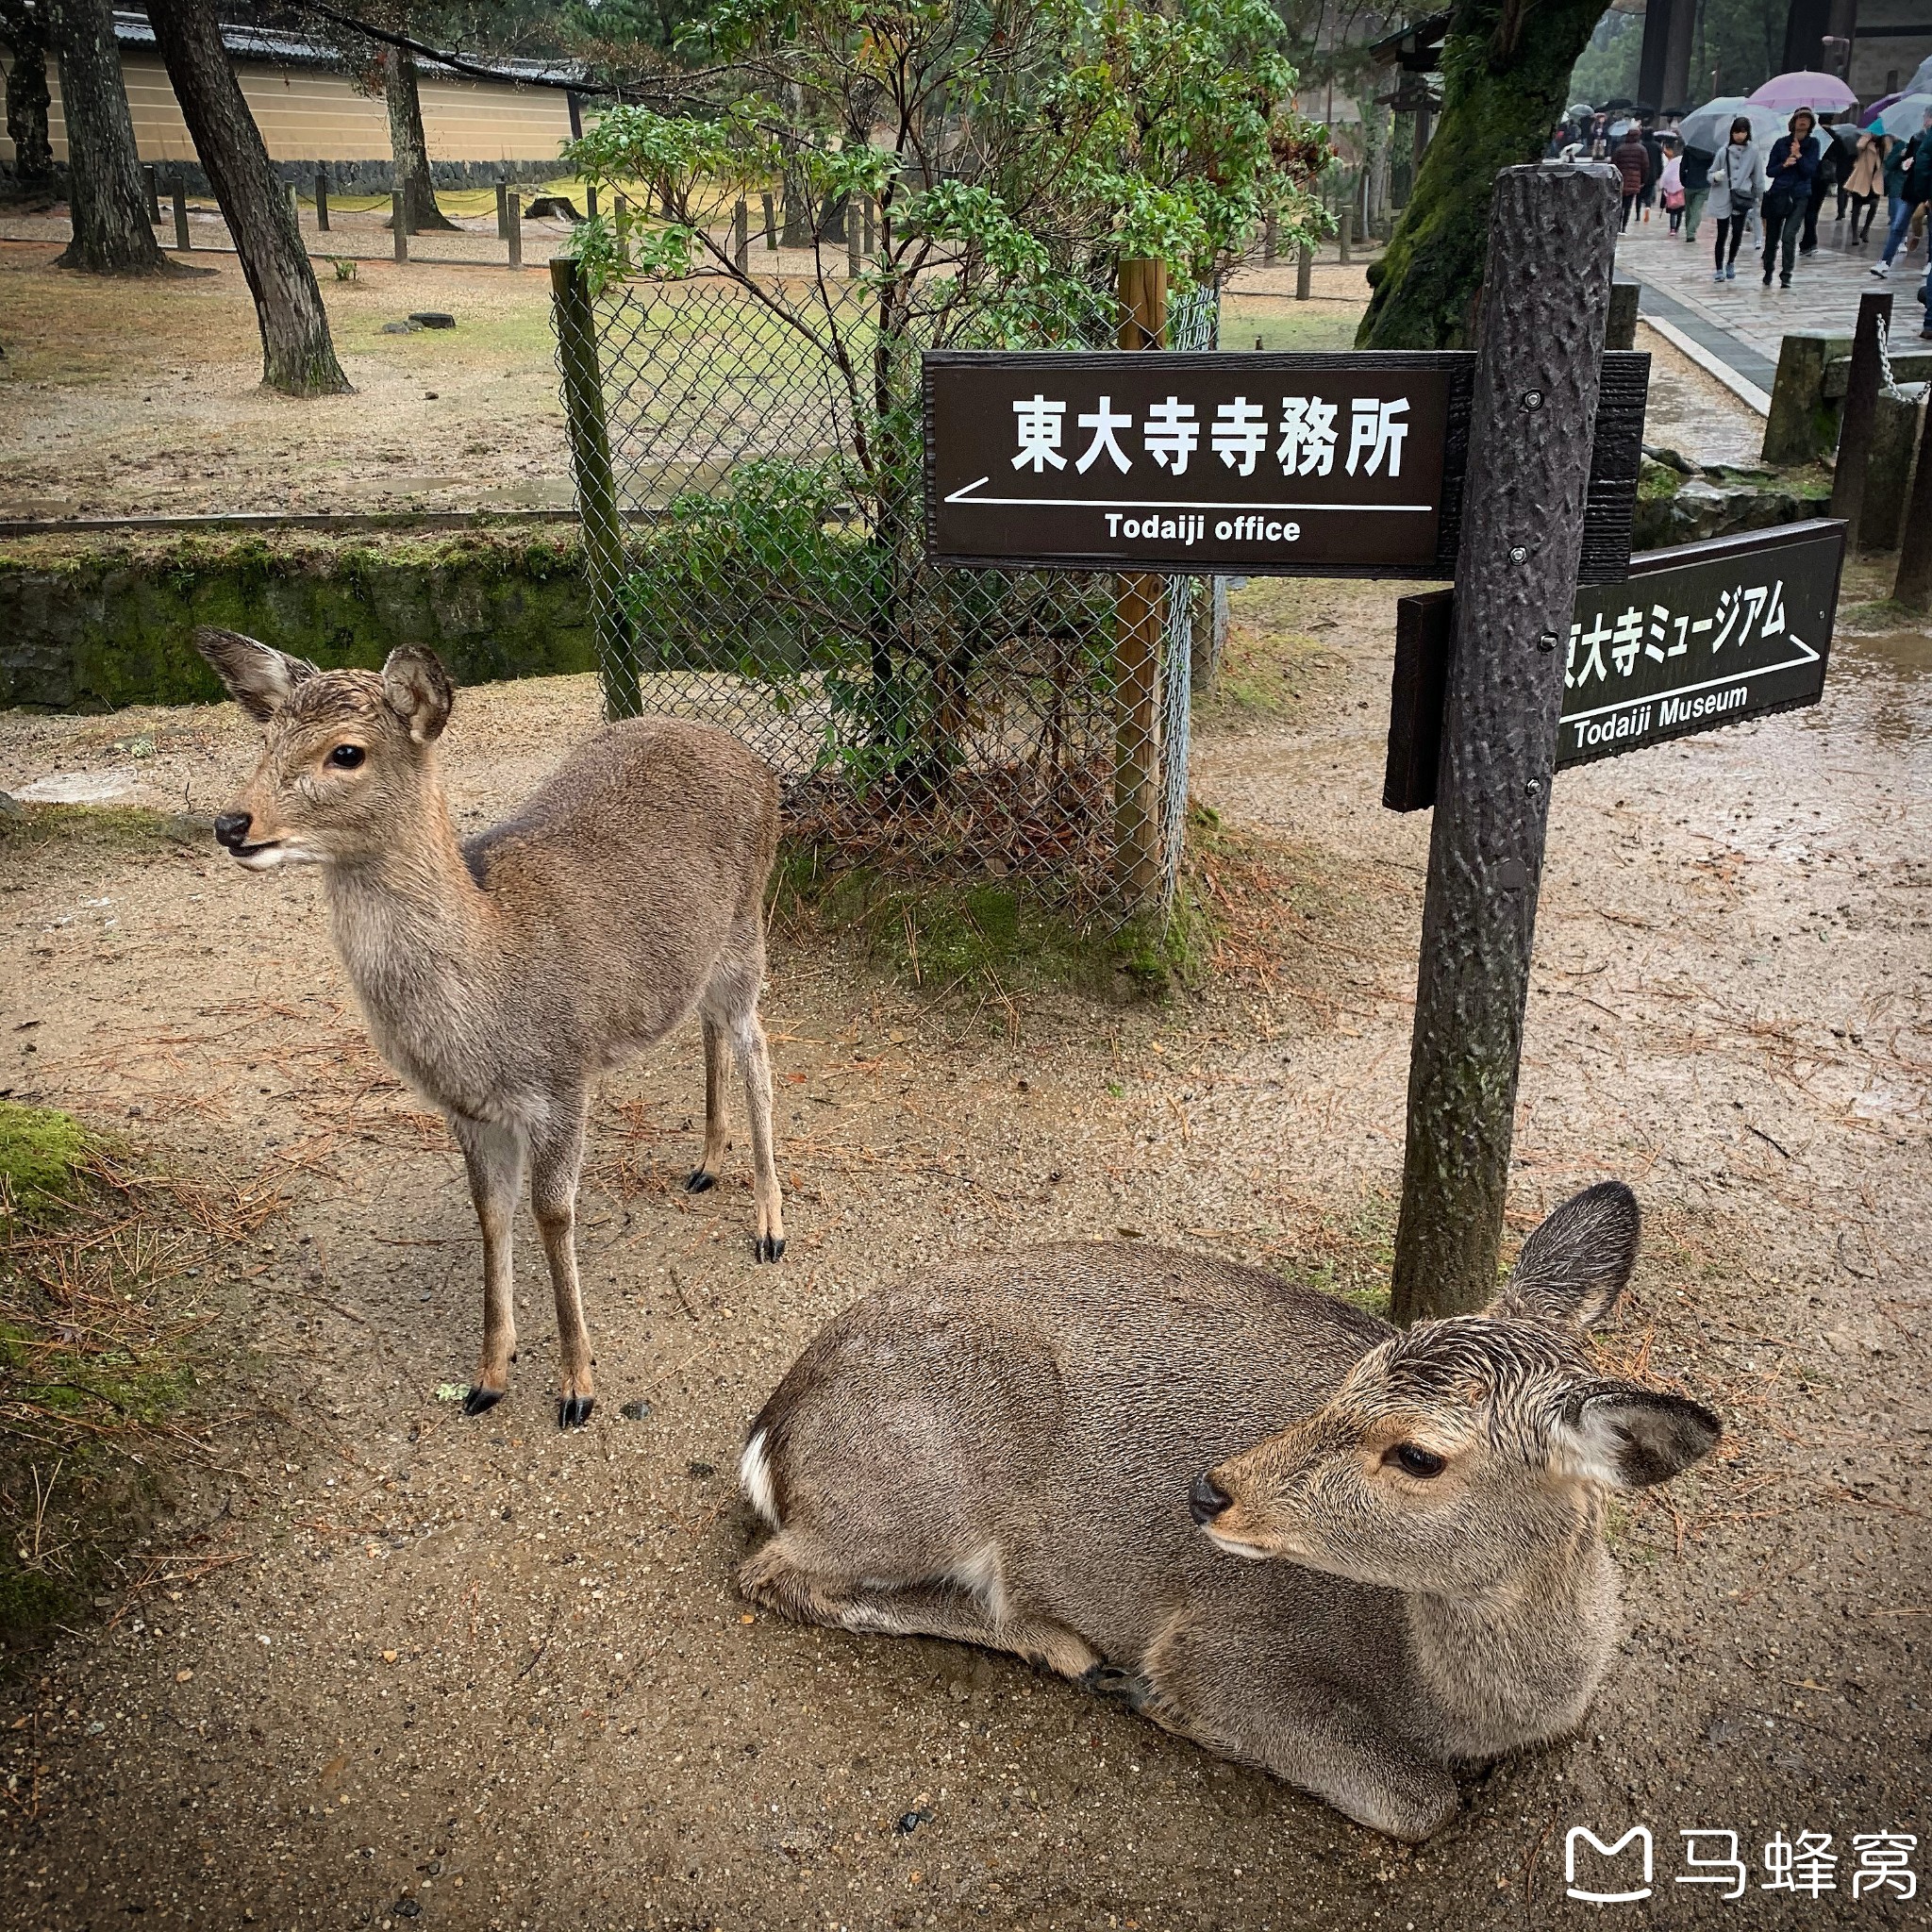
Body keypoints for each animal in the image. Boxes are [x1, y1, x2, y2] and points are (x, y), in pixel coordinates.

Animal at [199, 625, 788, 1429]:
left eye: (346, 752)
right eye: (265, 737)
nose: (232, 823)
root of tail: (757, 762)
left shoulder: (564, 1081)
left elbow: (552, 1213)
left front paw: (578, 1388)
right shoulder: (469, 1111)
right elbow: (490, 1213)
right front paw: (488, 1376)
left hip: (746, 931)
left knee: (756, 1044)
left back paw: (769, 1228)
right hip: (697, 961)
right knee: (709, 1027)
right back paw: (704, 1163)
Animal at [738, 1174, 1723, 1839]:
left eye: (1417, 1454)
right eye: (1356, 1371)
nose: (1212, 1489)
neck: (1460, 1707)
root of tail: (772, 1431)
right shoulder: (1225, 1648)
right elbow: (1421, 1802)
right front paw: (1156, 1699)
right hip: (917, 1489)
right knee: (776, 1574)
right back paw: (1069, 1649)